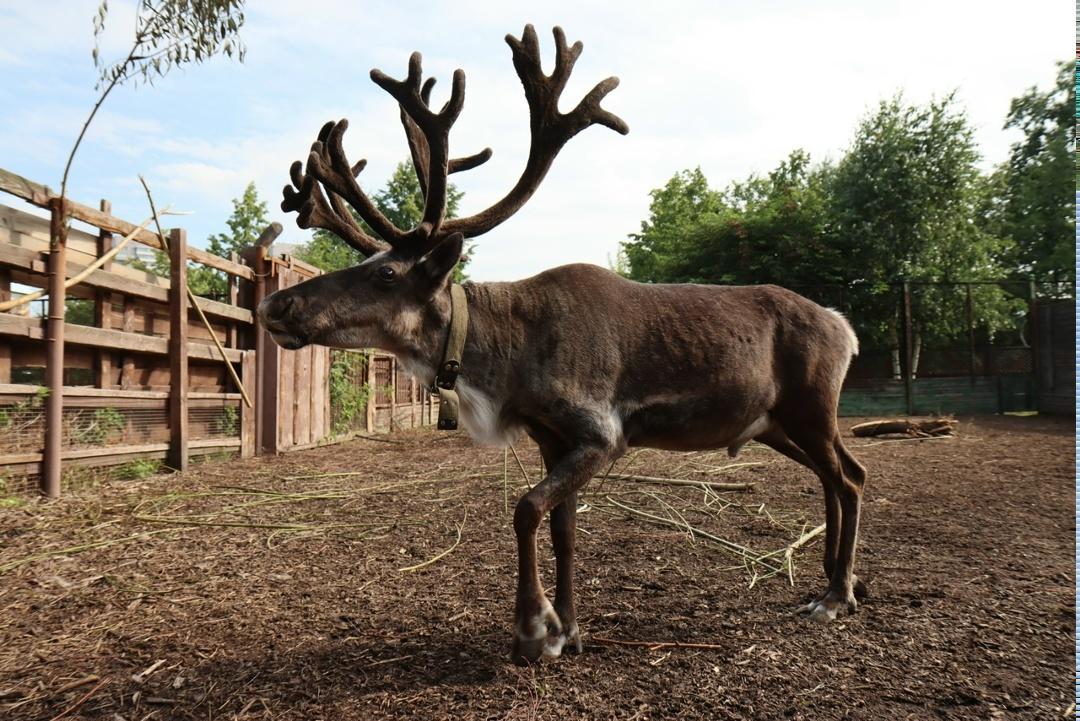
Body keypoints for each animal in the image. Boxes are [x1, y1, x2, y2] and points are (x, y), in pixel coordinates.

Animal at [257, 25, 868, 665]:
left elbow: (526, 509)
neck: (509, 355)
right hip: (777, 423)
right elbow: (564, 531)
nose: (276, 306)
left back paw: (836, 594)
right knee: (838, 477)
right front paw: (571, 630)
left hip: (810, 409)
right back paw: (839, 579)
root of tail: (843, 325)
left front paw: (534, 628)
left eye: (386, 274)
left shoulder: (600, 434)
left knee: (850, 478)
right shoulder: (553, 439)